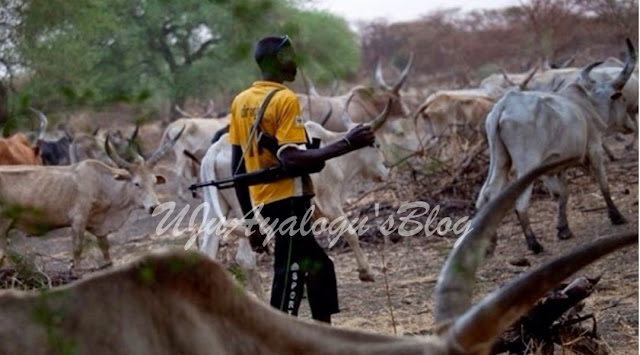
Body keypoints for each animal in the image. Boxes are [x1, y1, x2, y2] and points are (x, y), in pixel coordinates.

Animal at [476, 43, 636, 254]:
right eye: (623, 99)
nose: (629, 126)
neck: (586, 106)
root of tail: (503, 106)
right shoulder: (594, 149)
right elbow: (603, 183)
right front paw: (616, 216)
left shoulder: (555, 167)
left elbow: (563, 194)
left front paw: (563, 229)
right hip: (526, 165)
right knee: (520, 202)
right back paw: (534, 244)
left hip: (500, 159)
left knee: (489, 194)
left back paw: (488, 245)